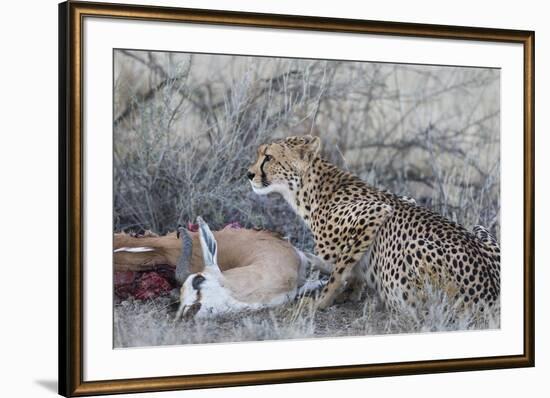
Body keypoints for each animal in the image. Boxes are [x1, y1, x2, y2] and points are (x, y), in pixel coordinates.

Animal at [248, 135, 502, 312]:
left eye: (268, 157)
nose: (248, 174)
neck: (308, 190)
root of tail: (491, 292)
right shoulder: (405, 199)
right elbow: (350, 266)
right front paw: (351, 290)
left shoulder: (376, 212)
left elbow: (339, 271)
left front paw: (320, 302)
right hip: (479, 229)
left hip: (414, 249)